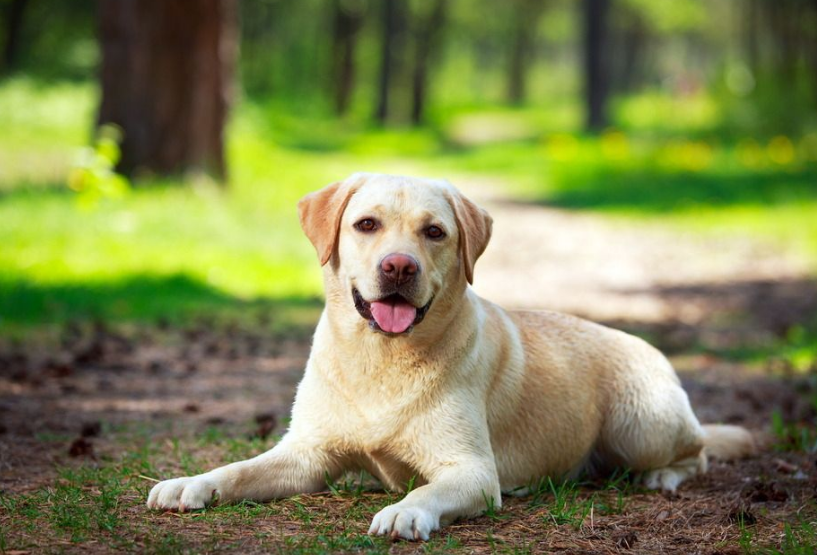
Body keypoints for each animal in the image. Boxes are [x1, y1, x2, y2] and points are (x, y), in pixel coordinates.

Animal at [147, 175, 752, 544]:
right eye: (366, 224)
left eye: (434, 232)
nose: (398, 266)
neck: (381, 359)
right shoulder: (306, 455)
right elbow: (238, 468)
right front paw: (190, 483)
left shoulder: (472, 470)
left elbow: (427, 488)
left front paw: (405, 509)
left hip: (640, 425)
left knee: (697, 452)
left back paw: (664, 476)